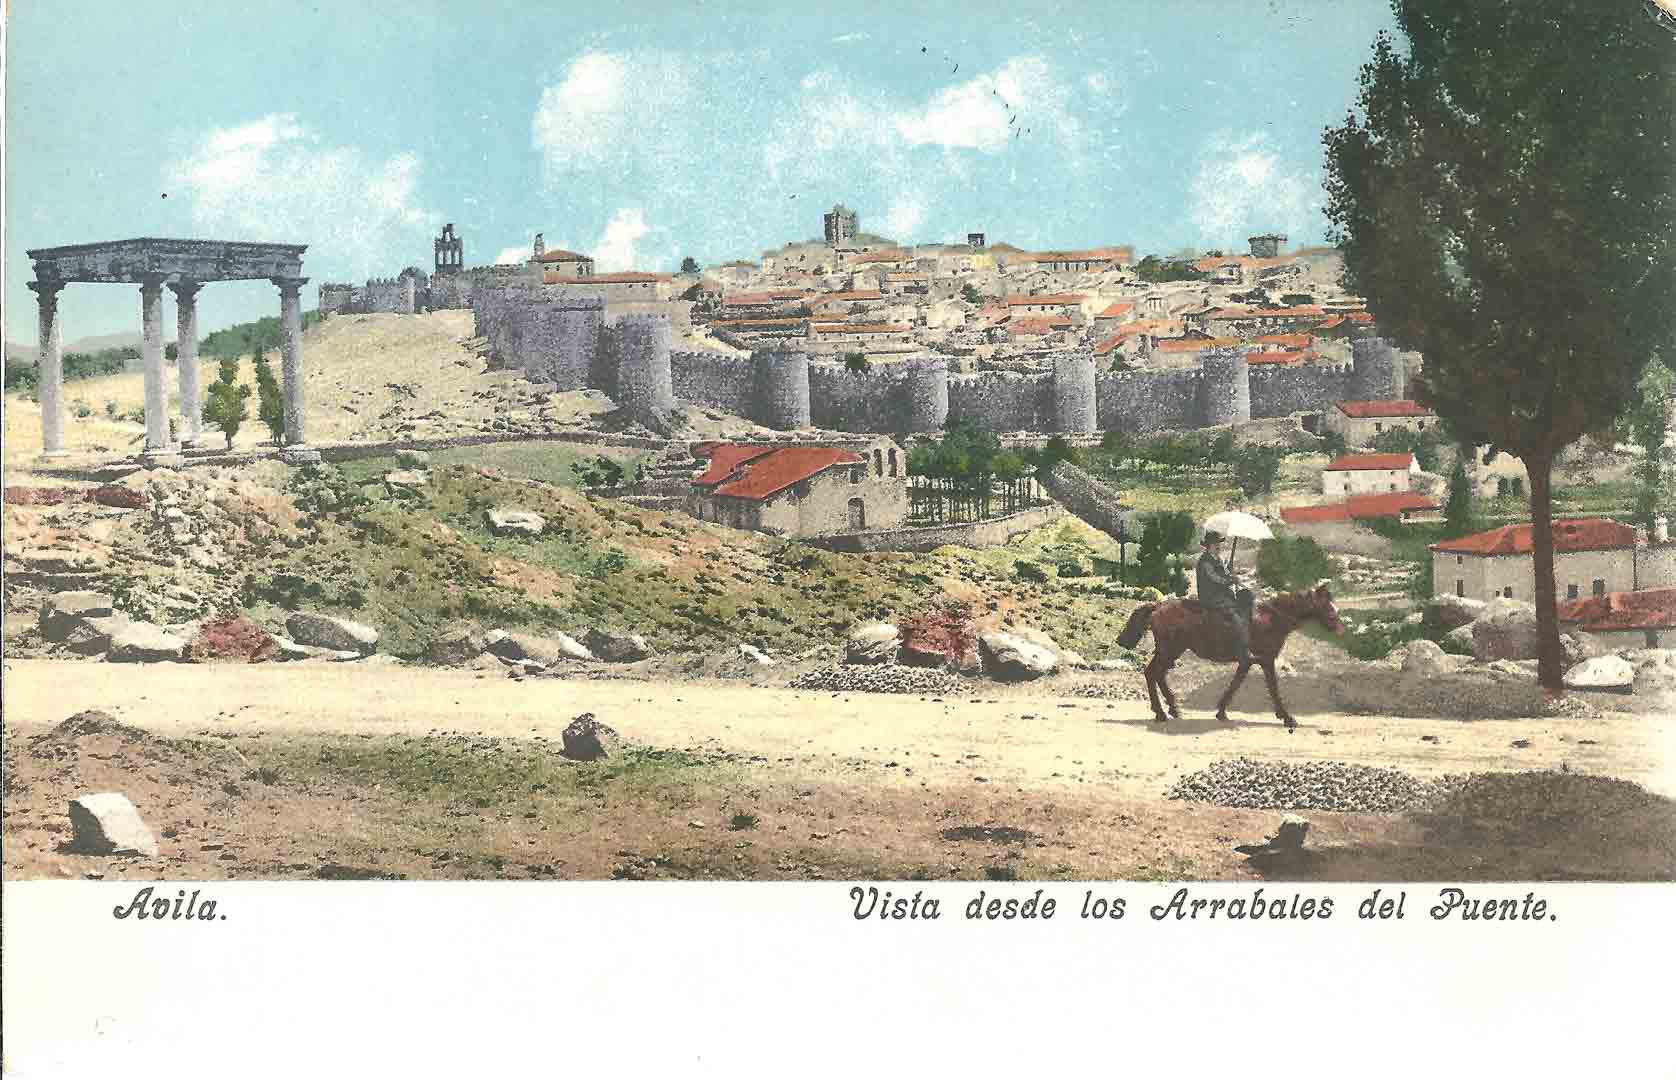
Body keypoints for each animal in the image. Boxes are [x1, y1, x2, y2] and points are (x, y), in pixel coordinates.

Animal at [1119, 583, 1340, 734]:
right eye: (1328, 607)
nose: (1340, 629)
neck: (1271, 619)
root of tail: (1158, 606)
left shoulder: (1248, 662)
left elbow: (1236, 684)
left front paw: (1221, 711)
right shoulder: (1266, 660)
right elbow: (1273, 688)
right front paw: (1287, 718)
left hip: (1171, 651)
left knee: (1157, 674)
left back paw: (1172, 709)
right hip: (1170, 650)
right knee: (1152, 673)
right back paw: (1161, 712)